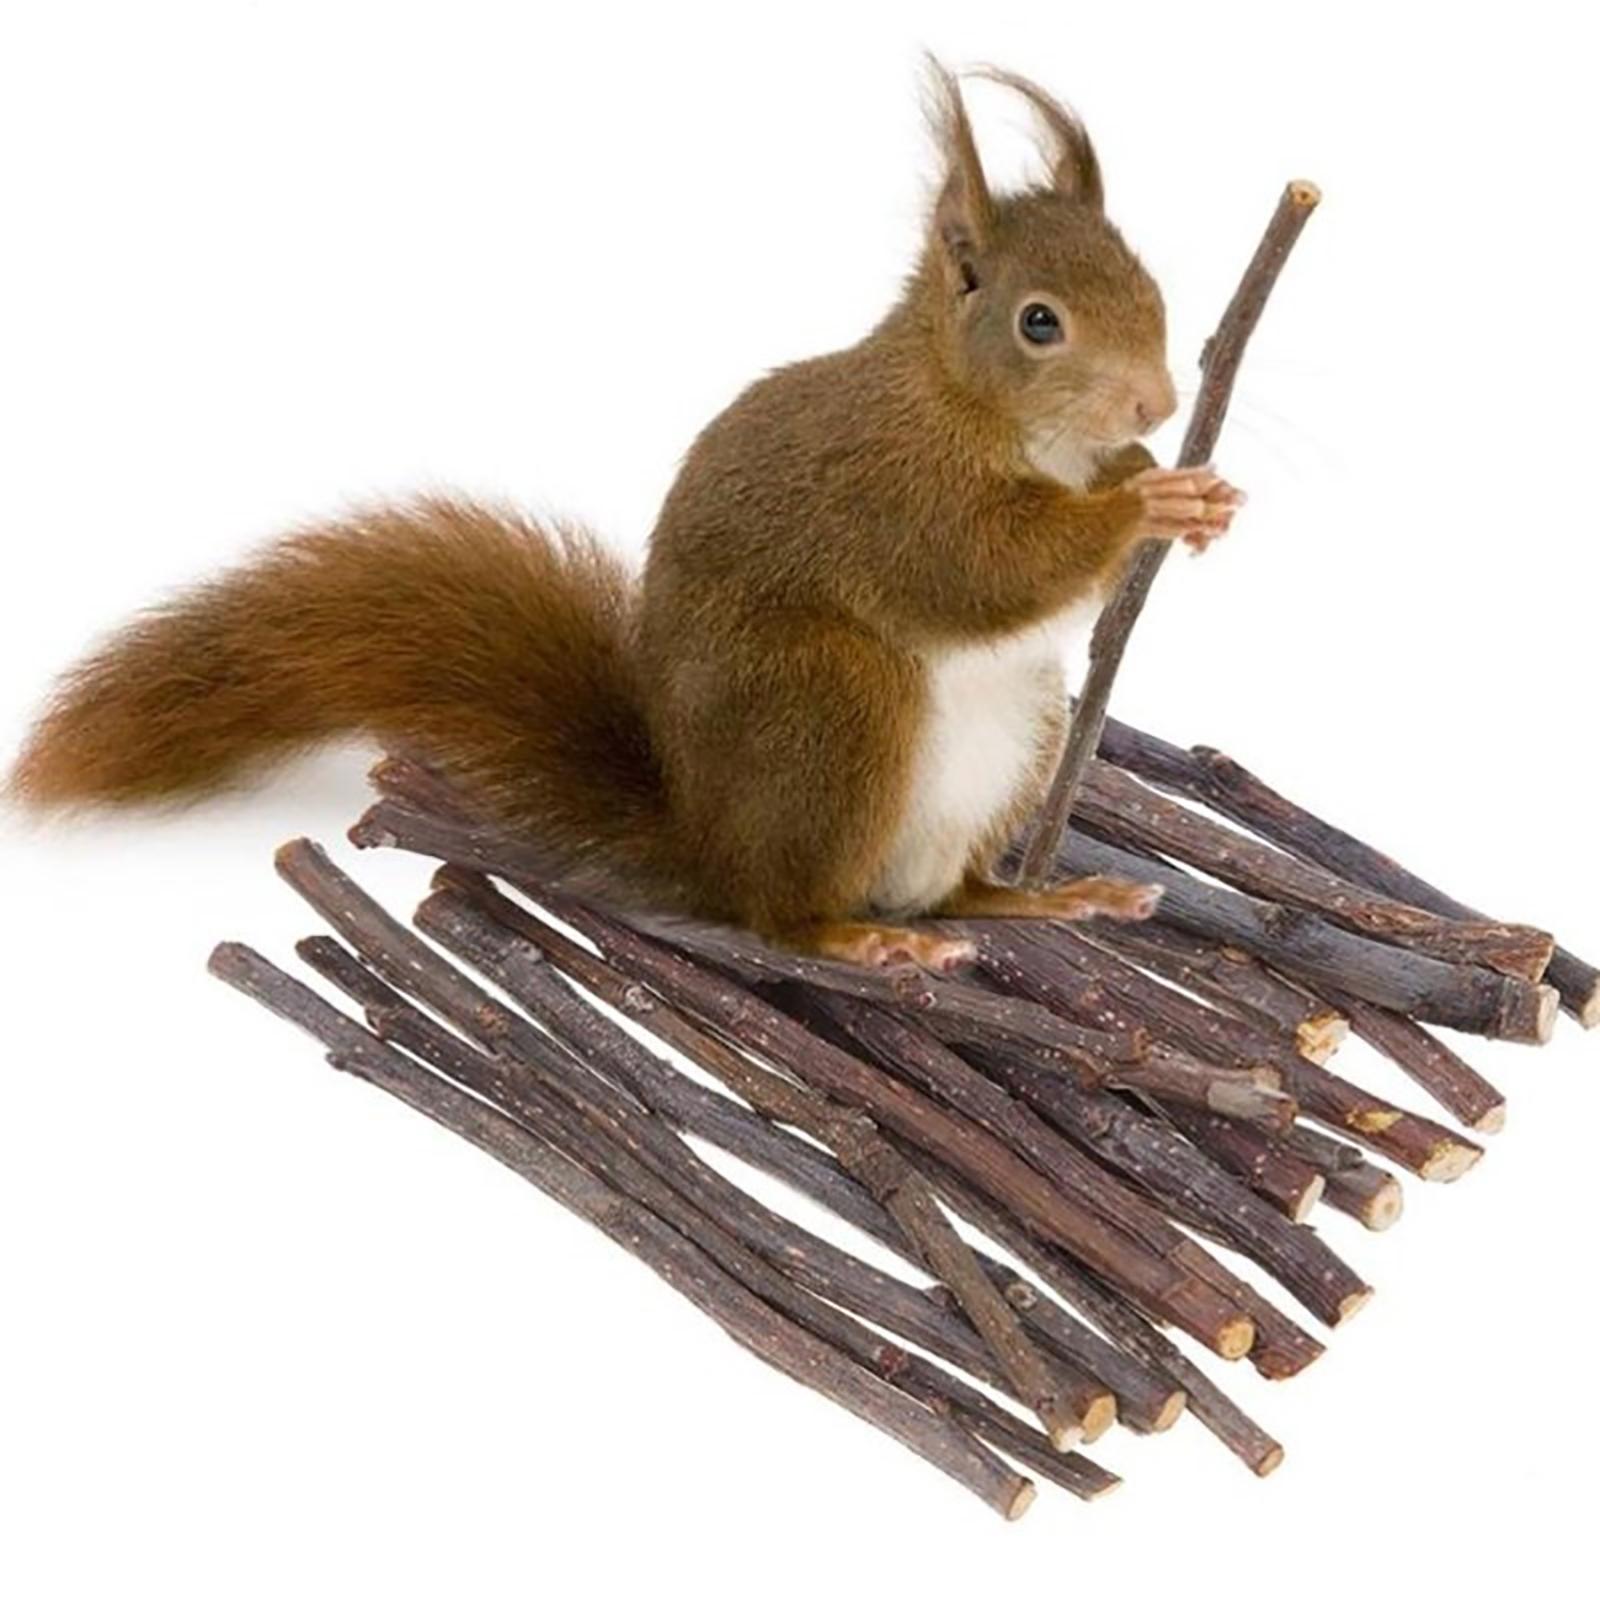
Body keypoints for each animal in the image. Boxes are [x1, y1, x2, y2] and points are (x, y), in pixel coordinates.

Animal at [9, 64, 1243, 972]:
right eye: (1040, 323)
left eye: (1145, 280)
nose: (1157, 401)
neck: (978, 407)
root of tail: (706, 842)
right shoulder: (894, 491)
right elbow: (982, 569)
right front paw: (1142, 500)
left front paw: (1186, 487)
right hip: (829, 705)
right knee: (782, 913)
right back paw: (857, 938)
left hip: (1016, 736)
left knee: (955, 892)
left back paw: (1043, 899)